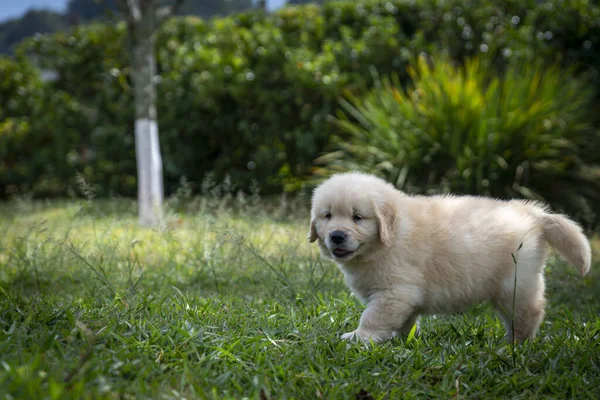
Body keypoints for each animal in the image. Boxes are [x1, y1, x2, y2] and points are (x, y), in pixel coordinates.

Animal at [310, 172, 592, 344]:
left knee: (529, 313)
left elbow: (373, 316)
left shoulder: (395, 291)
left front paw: (360, 337)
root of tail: (532, 213)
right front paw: (402, 339)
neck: (387, 239)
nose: (336, 236)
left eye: (358, 217)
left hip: (514, 284)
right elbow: (404, 320)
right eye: (327, 215)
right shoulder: (404, 297)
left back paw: (514, 345)